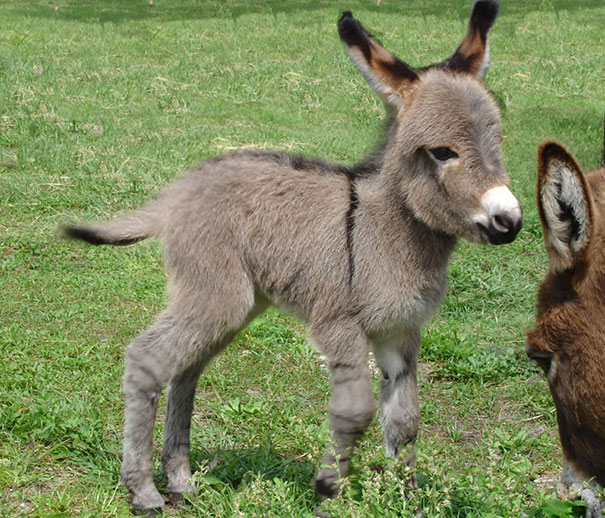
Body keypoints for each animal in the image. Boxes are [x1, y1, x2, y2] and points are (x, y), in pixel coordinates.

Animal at [65, 2, 520, 516]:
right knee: (147, 358)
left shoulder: (401, 331)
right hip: (214, 293)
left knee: (186, 369)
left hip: (237, 305)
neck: (388, 231)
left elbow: (405, 422)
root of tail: (177, 191)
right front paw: (327, 490)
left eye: (497, 142)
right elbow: (357, 410)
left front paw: (408, 502)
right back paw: (144, 491)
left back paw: (181, 480)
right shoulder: (338, 323)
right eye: (443, 152)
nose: (509, 222)